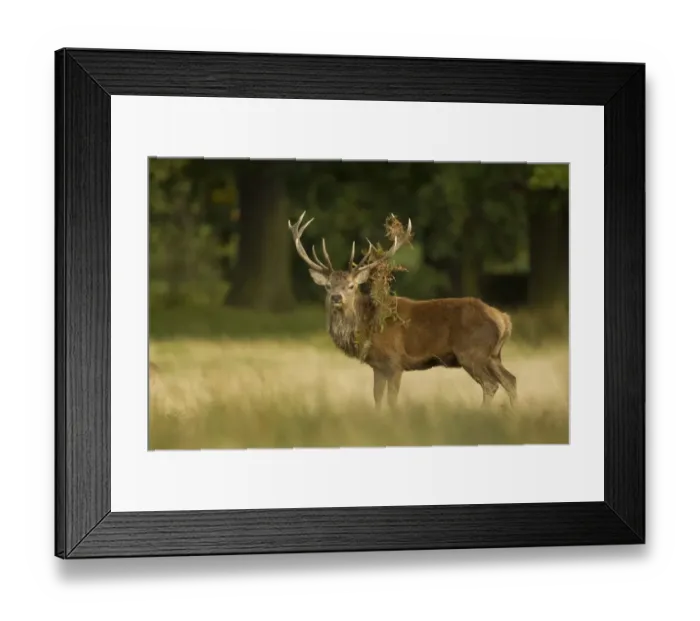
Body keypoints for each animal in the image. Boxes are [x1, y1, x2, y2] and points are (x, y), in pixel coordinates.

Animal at [288, 212, 518, 411]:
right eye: (328, 286)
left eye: (351, 286)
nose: (337, 297)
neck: (367, 325)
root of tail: (503, 319)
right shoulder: (378, 365)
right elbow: (377, 398)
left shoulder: (395, 361)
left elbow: (391, 400)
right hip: (493, 355)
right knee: (511, 380)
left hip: (471, 351)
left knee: (491, 384)